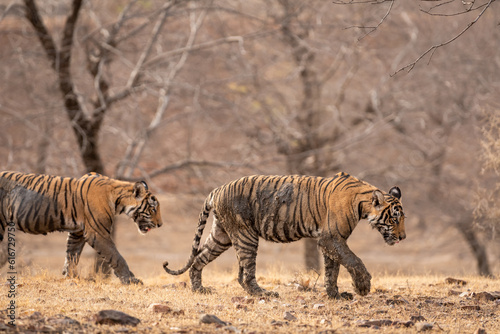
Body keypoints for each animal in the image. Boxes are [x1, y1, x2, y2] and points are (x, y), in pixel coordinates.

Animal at [0, 171, 164, 284]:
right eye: (153, 209)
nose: (160, 224)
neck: (118, 200)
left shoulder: (77, 232)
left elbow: (72, 255)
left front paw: (71, 277)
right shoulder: (98, 233)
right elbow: (117, 257)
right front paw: (131, 280)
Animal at [164, 172, 406, 298]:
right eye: (394, 219)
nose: (403, 237)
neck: (362, 204)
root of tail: (218, 189)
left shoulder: (331, 241)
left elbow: (333, 269)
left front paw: (335, 295)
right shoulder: (331, 238)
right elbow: (353, 260)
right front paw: (363, 286)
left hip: (221, 235)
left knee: (199, 258)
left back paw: (199, 289)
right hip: (246, 235)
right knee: (246, 273)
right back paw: (263, 293)